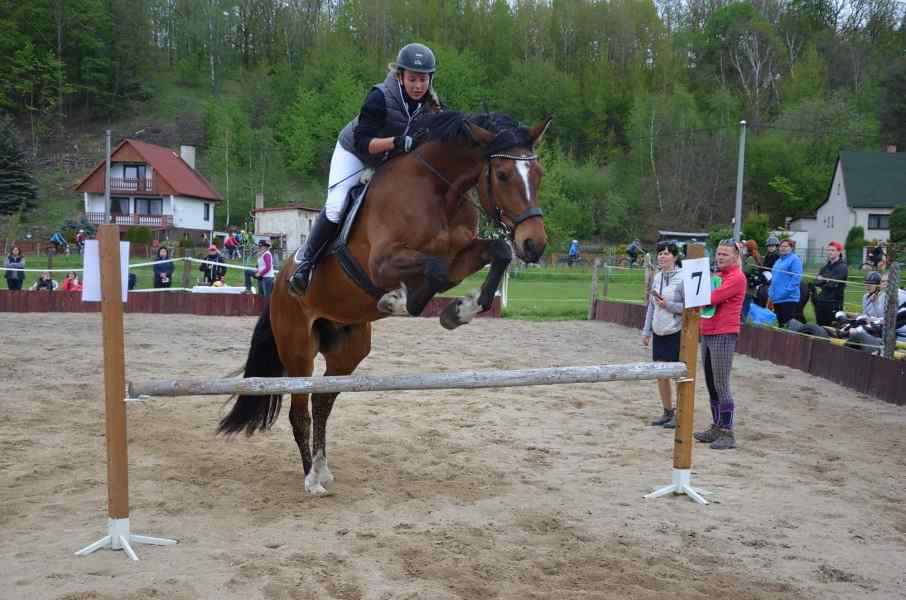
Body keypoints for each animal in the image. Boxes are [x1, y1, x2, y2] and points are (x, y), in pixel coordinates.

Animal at [217, 110, 552, 494]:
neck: (439, 191)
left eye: (539, 174)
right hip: (298, 348)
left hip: (348, 349)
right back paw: (310, 479)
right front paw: (398, 302)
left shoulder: (460, 254)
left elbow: (495, 252)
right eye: (502, 174)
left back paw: (321, 468)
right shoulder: (381, 264)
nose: (534, 245)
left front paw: (459, 311)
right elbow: (435, 271)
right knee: (299, 410)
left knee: (322, 400)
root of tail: (277, 288)